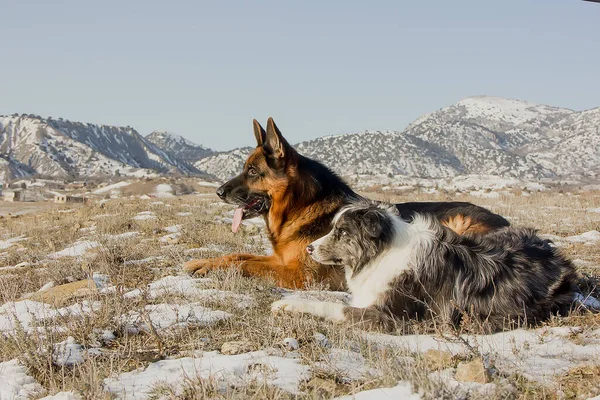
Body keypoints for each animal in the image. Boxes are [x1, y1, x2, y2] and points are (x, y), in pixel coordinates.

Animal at [184, 117, 510, 290]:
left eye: (252, 171)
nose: (218, 192)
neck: (300, 208)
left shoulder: (298, 275)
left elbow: (244, 265)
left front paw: (210, 270)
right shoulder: (281, 260)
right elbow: (236, 255)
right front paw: (202, 263)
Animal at [272, 202, 576, 330]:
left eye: (343, 232)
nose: (309, 248)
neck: (383, 251)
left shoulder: (389, 316)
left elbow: (333, 306)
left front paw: (289, 304)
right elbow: (329, 296)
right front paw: (287, 299)